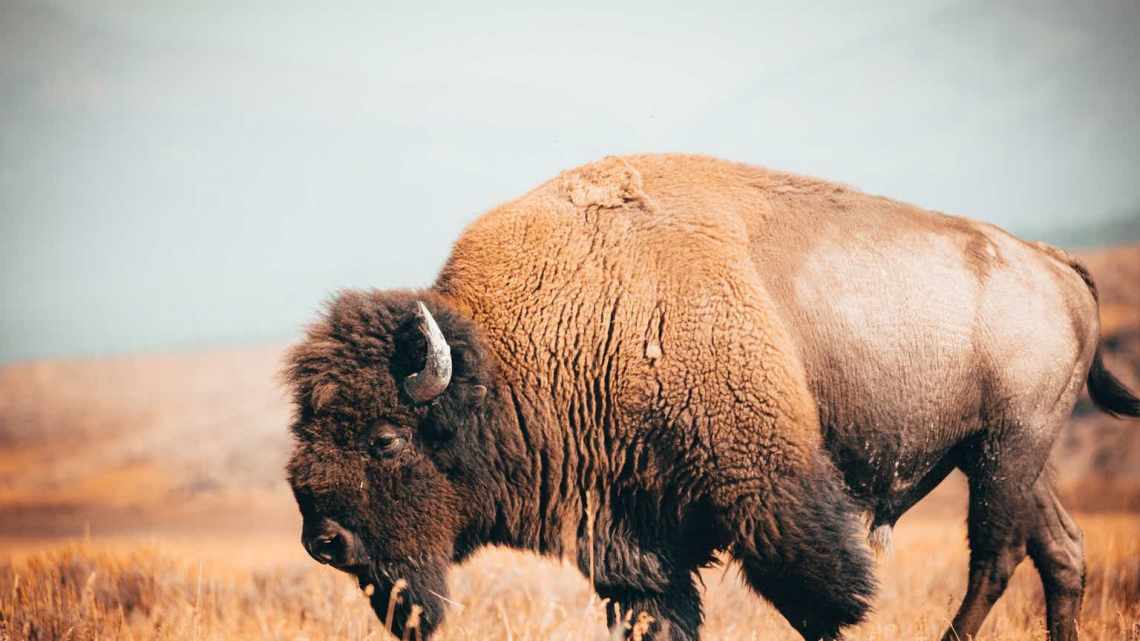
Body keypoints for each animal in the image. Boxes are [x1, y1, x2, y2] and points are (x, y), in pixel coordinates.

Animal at [282, 155, 1130, 638]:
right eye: (306, 433)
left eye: (385, 439)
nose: (325, 539)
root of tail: (1051, 260)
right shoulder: (631, 536)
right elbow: (661, 613)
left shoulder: (772, 495)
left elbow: (822, 601)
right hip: (1011, 457)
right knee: (1059, 551)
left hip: (1005, 450)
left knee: (997, 554)